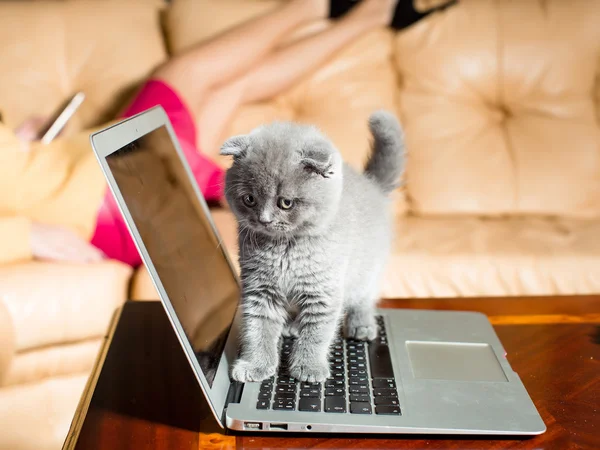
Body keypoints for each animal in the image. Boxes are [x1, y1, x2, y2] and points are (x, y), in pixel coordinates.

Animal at [219, 110, 404, 382]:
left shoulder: (322, 289)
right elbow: (258, 327)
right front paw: (256, 365)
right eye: (249, 199)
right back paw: (293, 326)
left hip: (368, 267)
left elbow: (317, 332)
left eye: (285, 203)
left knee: (363, 297)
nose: (264, 220)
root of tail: (371, 184)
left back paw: (361, 324)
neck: (284, 247)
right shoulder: (260, 288)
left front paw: (308, 367)